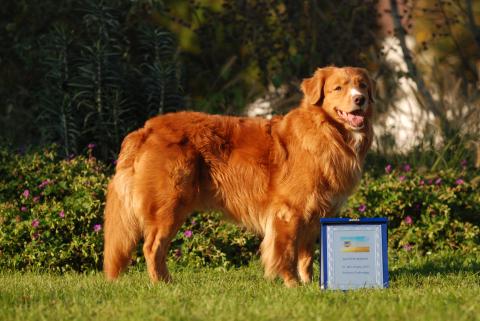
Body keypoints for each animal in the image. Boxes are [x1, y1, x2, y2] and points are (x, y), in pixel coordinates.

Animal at [104, 66, 376, 286]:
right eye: (338, 88)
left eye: (362, 85)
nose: (360, 99)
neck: (328, 133)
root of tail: (146, 129)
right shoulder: (289, 212)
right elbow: (286, 252)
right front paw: (292, 285)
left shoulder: (315, 215)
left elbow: (306, 257)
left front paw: (310, 285)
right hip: (168, 205)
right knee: (152, 248)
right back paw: (162, 284)